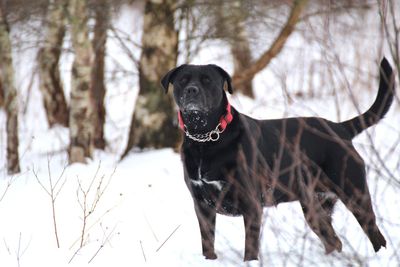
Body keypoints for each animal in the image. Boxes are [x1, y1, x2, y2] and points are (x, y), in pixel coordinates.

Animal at [160, 58, 394, 262]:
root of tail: (340, 128)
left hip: (355, 195)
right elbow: (208, 245)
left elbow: (250, 249)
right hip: (314, 205)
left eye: (207, 80)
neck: (206, 140)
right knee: (334, 241)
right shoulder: (202, 207)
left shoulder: (251, 204)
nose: (192, 90)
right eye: (183, 80)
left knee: (376, 236)